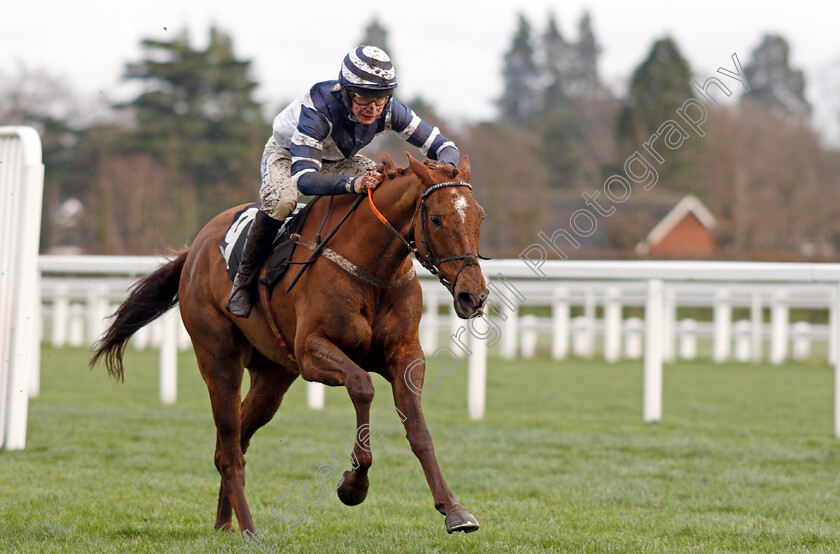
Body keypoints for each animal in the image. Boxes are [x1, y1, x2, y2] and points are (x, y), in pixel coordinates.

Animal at [89, 153, 486, 532]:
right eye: (436, 219)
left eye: (479, 216)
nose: (474, 296)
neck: (371, 269)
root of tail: (194, 250)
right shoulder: (311, 352)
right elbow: (362, 386)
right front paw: (353, 485)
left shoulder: (405, 356)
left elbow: (418, 429)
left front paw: (454, 510)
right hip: (219, 359)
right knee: (229, 449)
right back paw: (249, 530)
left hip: (272, 376)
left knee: (233, 443)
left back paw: (225, 524)